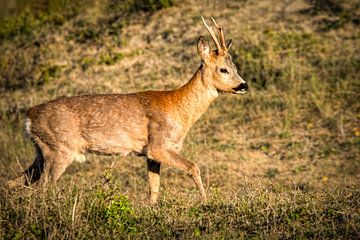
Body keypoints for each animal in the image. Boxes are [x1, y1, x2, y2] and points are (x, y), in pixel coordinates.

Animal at [9, 16, 249, 204]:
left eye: (236, 68)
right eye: (223, 69)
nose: (243, 85)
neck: (179, 108)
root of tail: (29, 117)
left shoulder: (150, 153)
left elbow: (154, 188)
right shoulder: (158, 145)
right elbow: (193, 167)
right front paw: (205, 201)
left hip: (42, 152)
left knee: (16, 180)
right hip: (60, 148)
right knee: (43, 187)